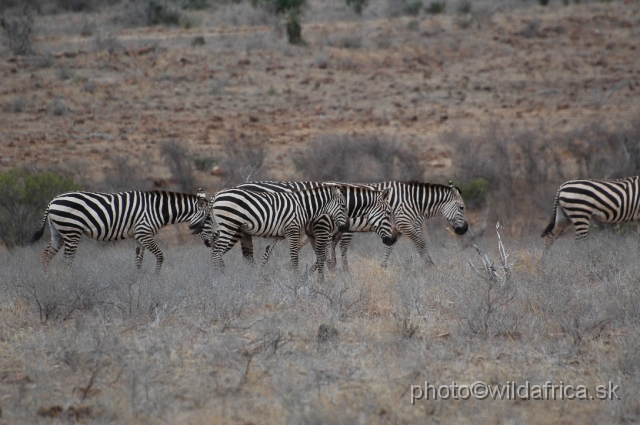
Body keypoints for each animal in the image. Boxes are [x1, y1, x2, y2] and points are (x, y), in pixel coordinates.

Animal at [31, 189, 208, 272]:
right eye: (208, 220)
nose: (210, 242)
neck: (158, 210)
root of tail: (53, 201)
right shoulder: (144, 232)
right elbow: (160, 256)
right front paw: (156, 277)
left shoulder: (139, 236)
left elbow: (138, 260)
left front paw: (137, 281)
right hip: (71, 231)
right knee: (66, 260)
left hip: (58, 233)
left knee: (45, 255)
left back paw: (48, 280)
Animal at [332, 181, 468, 270]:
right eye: (462, 208)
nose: (465, 229)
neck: (415, 202)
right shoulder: (405, 223)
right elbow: (421, 243)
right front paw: (430, 265)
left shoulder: (398, 228)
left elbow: (390, 246)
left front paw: (383, 266)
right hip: (346, 228)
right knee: (342, 246)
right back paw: (345, 270)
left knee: (334, 242)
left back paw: (334, 267)